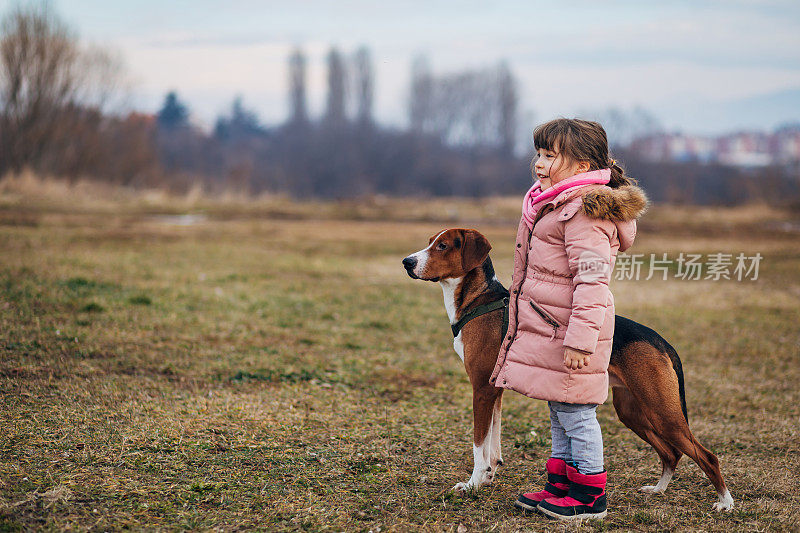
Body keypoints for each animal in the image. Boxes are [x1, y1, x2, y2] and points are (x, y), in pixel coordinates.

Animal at [404, 227, 736, 510]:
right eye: (431, 241)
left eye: (443, 246)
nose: (407, 262)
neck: (478, 301)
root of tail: (661, 341)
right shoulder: (493, 391)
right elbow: (492, 445)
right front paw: (487, 477)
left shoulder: (481, 390)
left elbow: (478, 444)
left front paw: (472, 484)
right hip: (633, 411)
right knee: (671, 453)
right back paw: (659, 489)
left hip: (663, 412)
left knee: (707, 456)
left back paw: (725, 502)